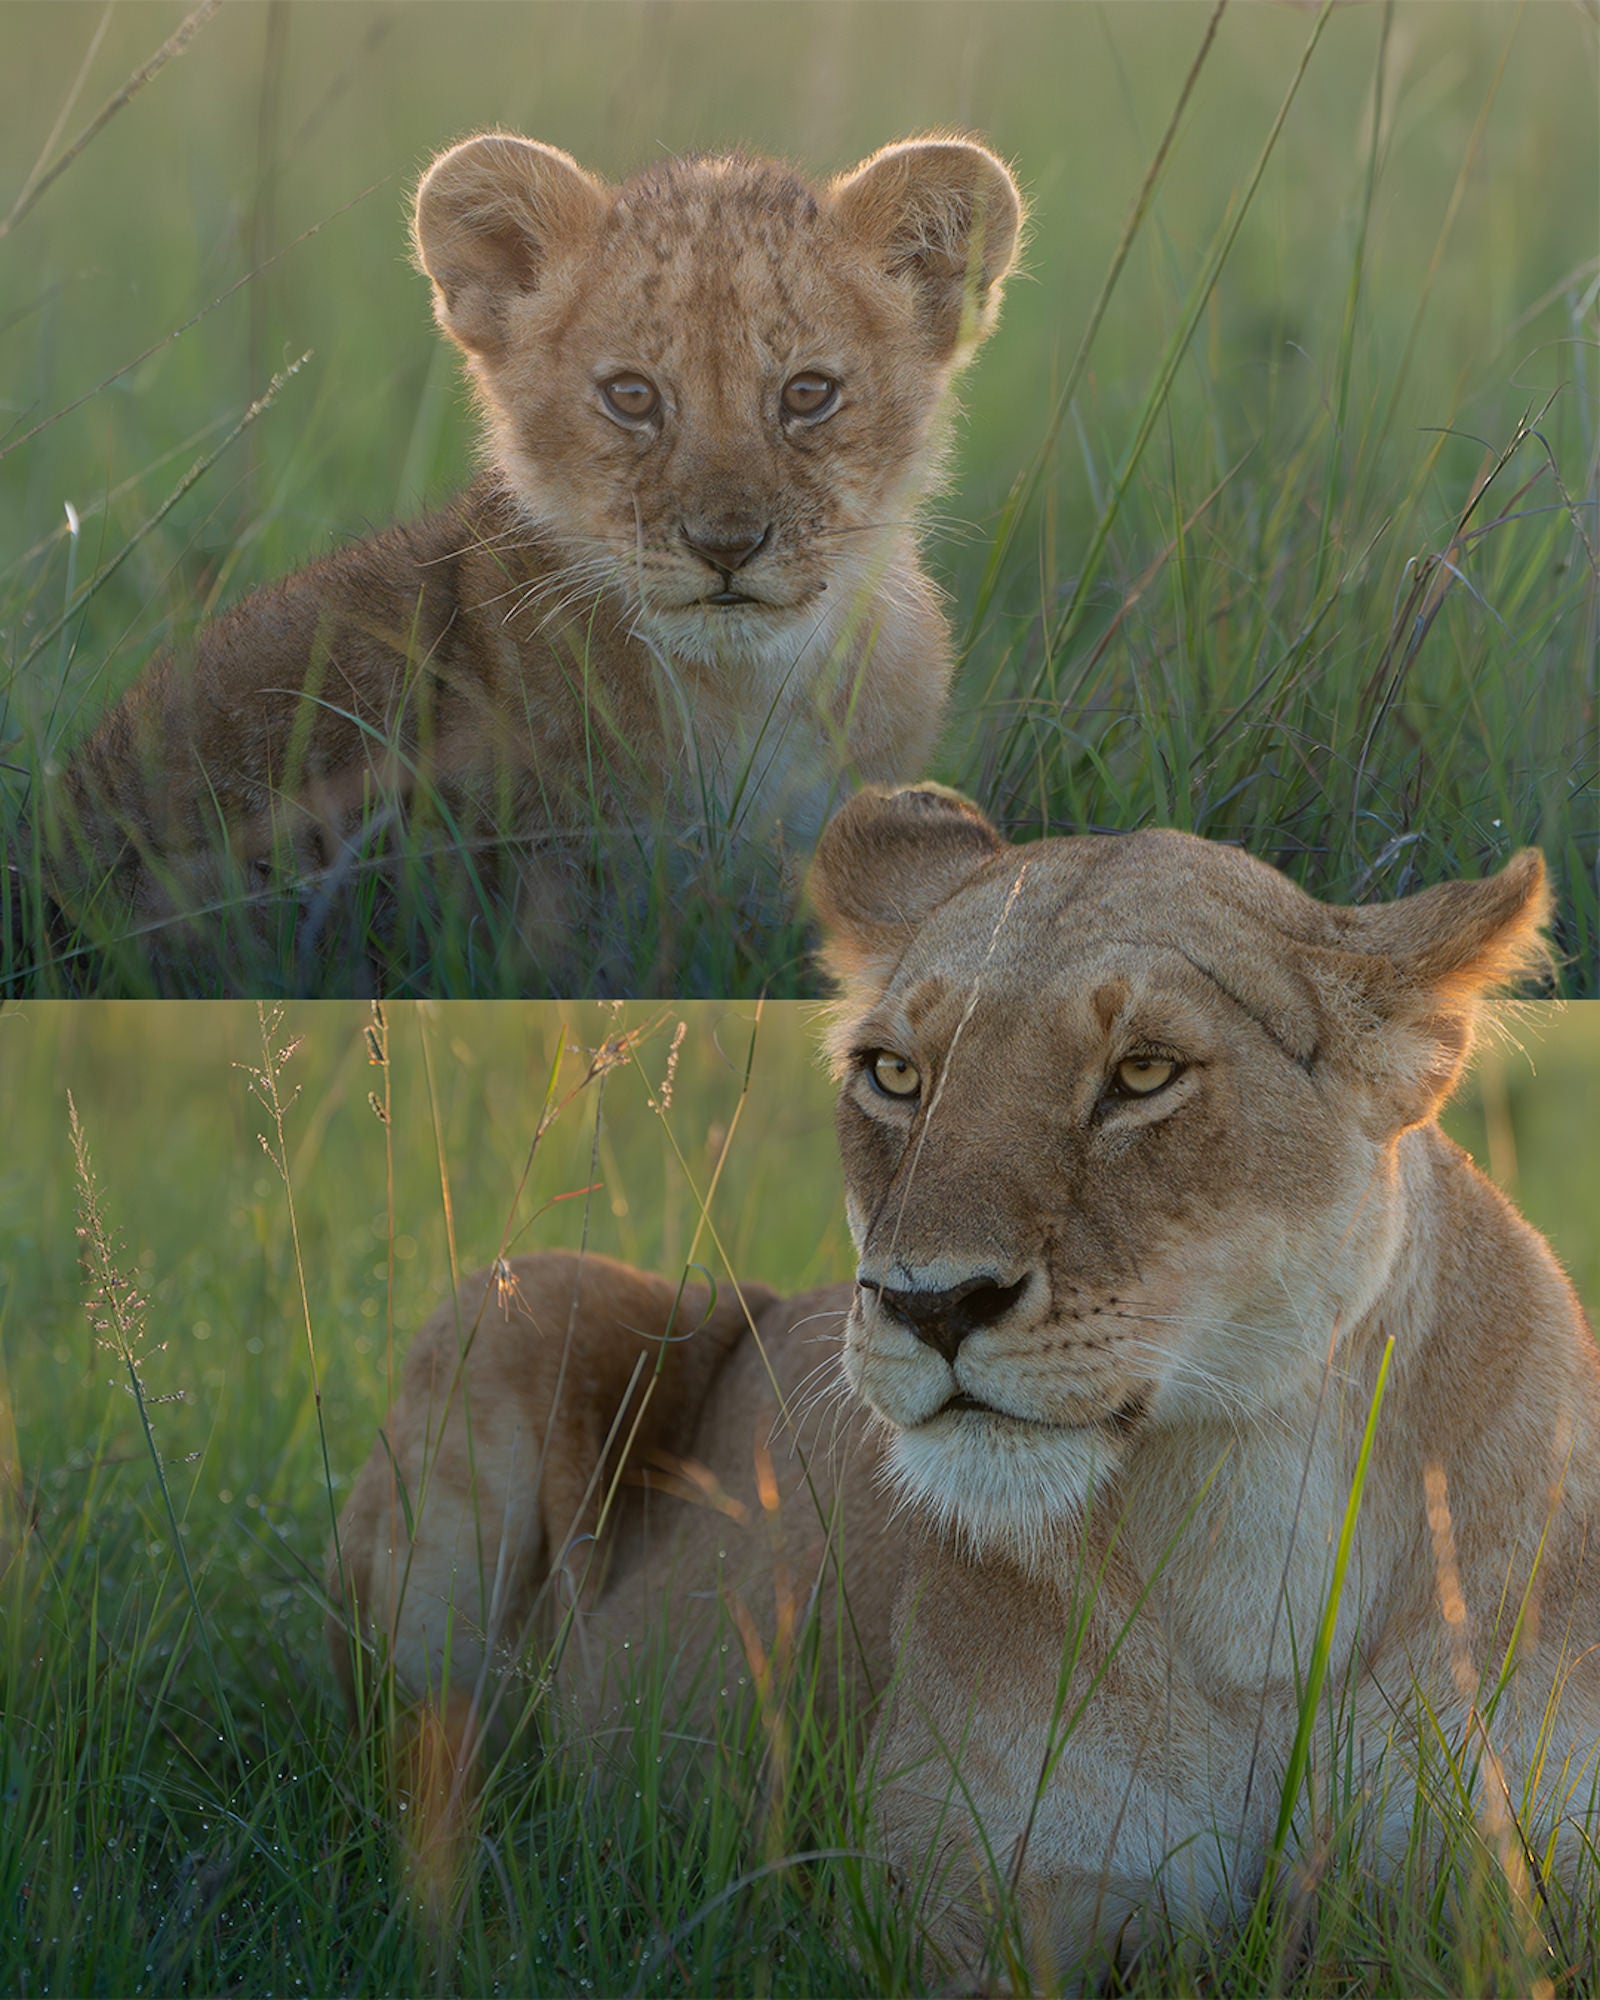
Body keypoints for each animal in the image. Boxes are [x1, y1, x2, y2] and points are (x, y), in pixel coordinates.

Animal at [326, 786, 1600, 1983]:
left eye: (1143, 1072)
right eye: (896, 1074)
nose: (929, 1303)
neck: (1249, 1532)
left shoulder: (1521, 1874)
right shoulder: (962, 1903)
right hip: (514, 1306)